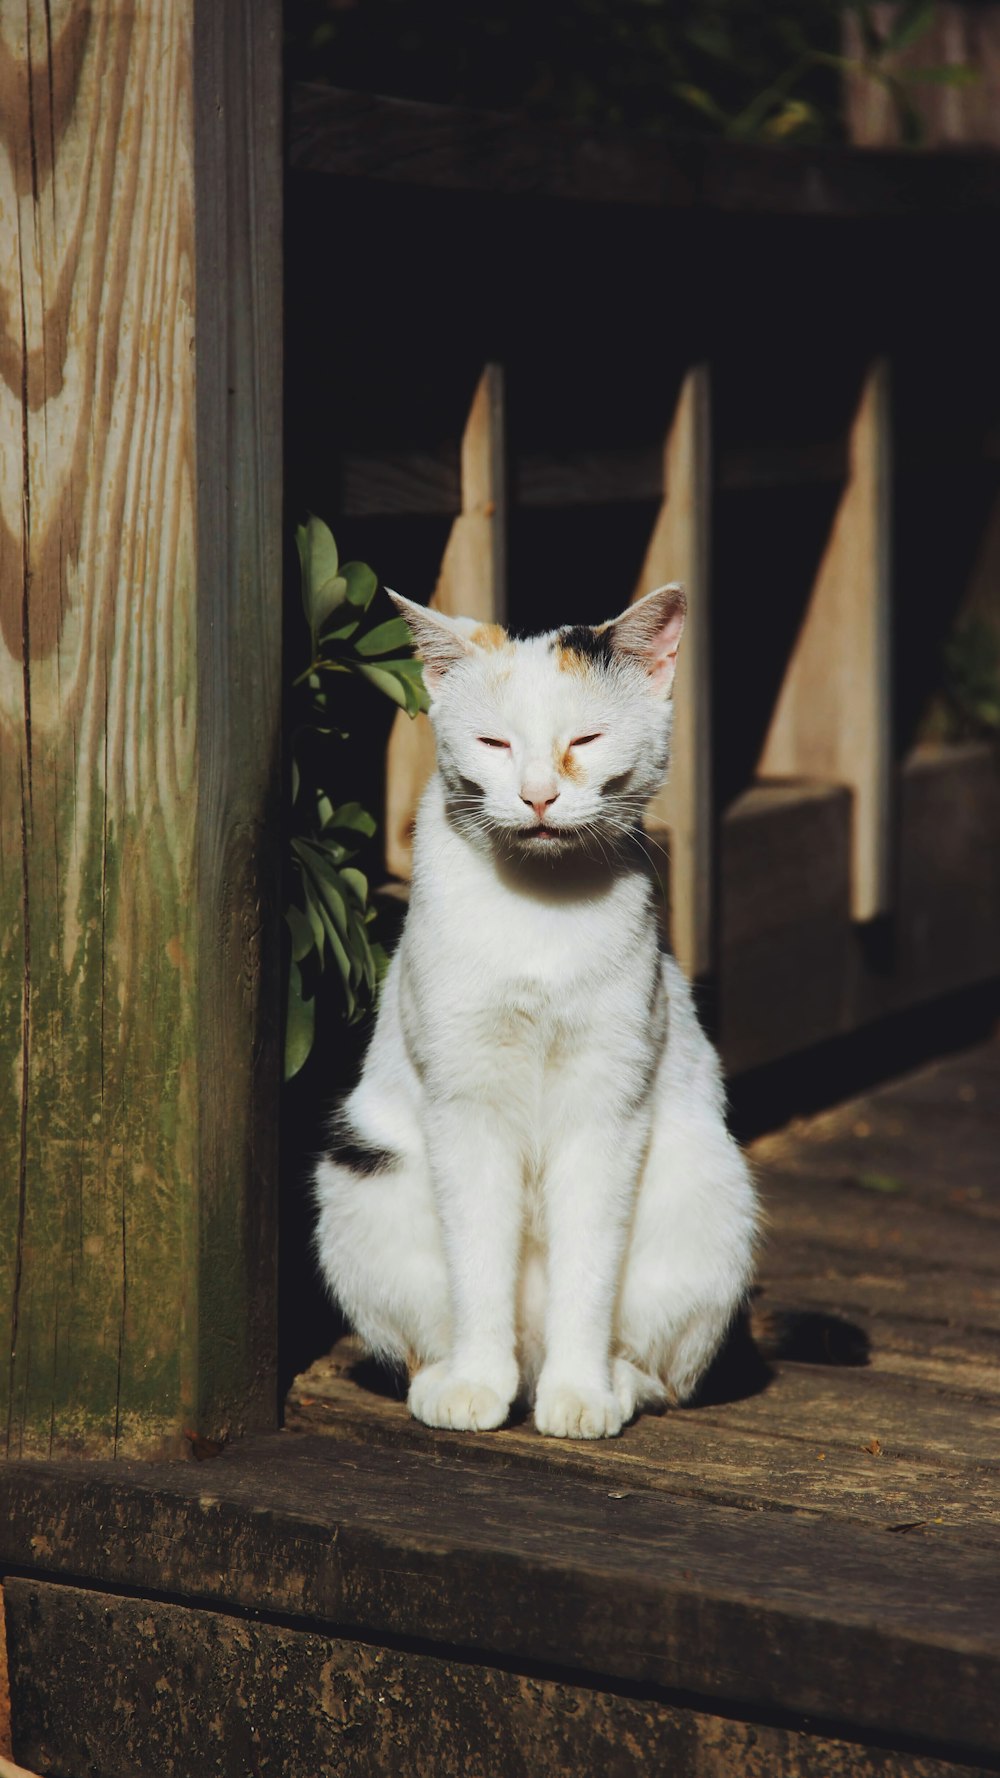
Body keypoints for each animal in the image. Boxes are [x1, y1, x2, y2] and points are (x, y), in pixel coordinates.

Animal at [311, 590, 754, 1436]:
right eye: (494, 742)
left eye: (585, 738)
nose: (539, 793)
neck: (541, 911)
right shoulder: (465, 1105)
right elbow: (478, 1258)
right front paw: (476, 1386)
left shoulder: (607, 1106)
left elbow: (590, 1267)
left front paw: (579, 1395)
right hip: (361, 1184)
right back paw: (449, 1377)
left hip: (711, 1198)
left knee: (665, 1373)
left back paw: (609, 1381)